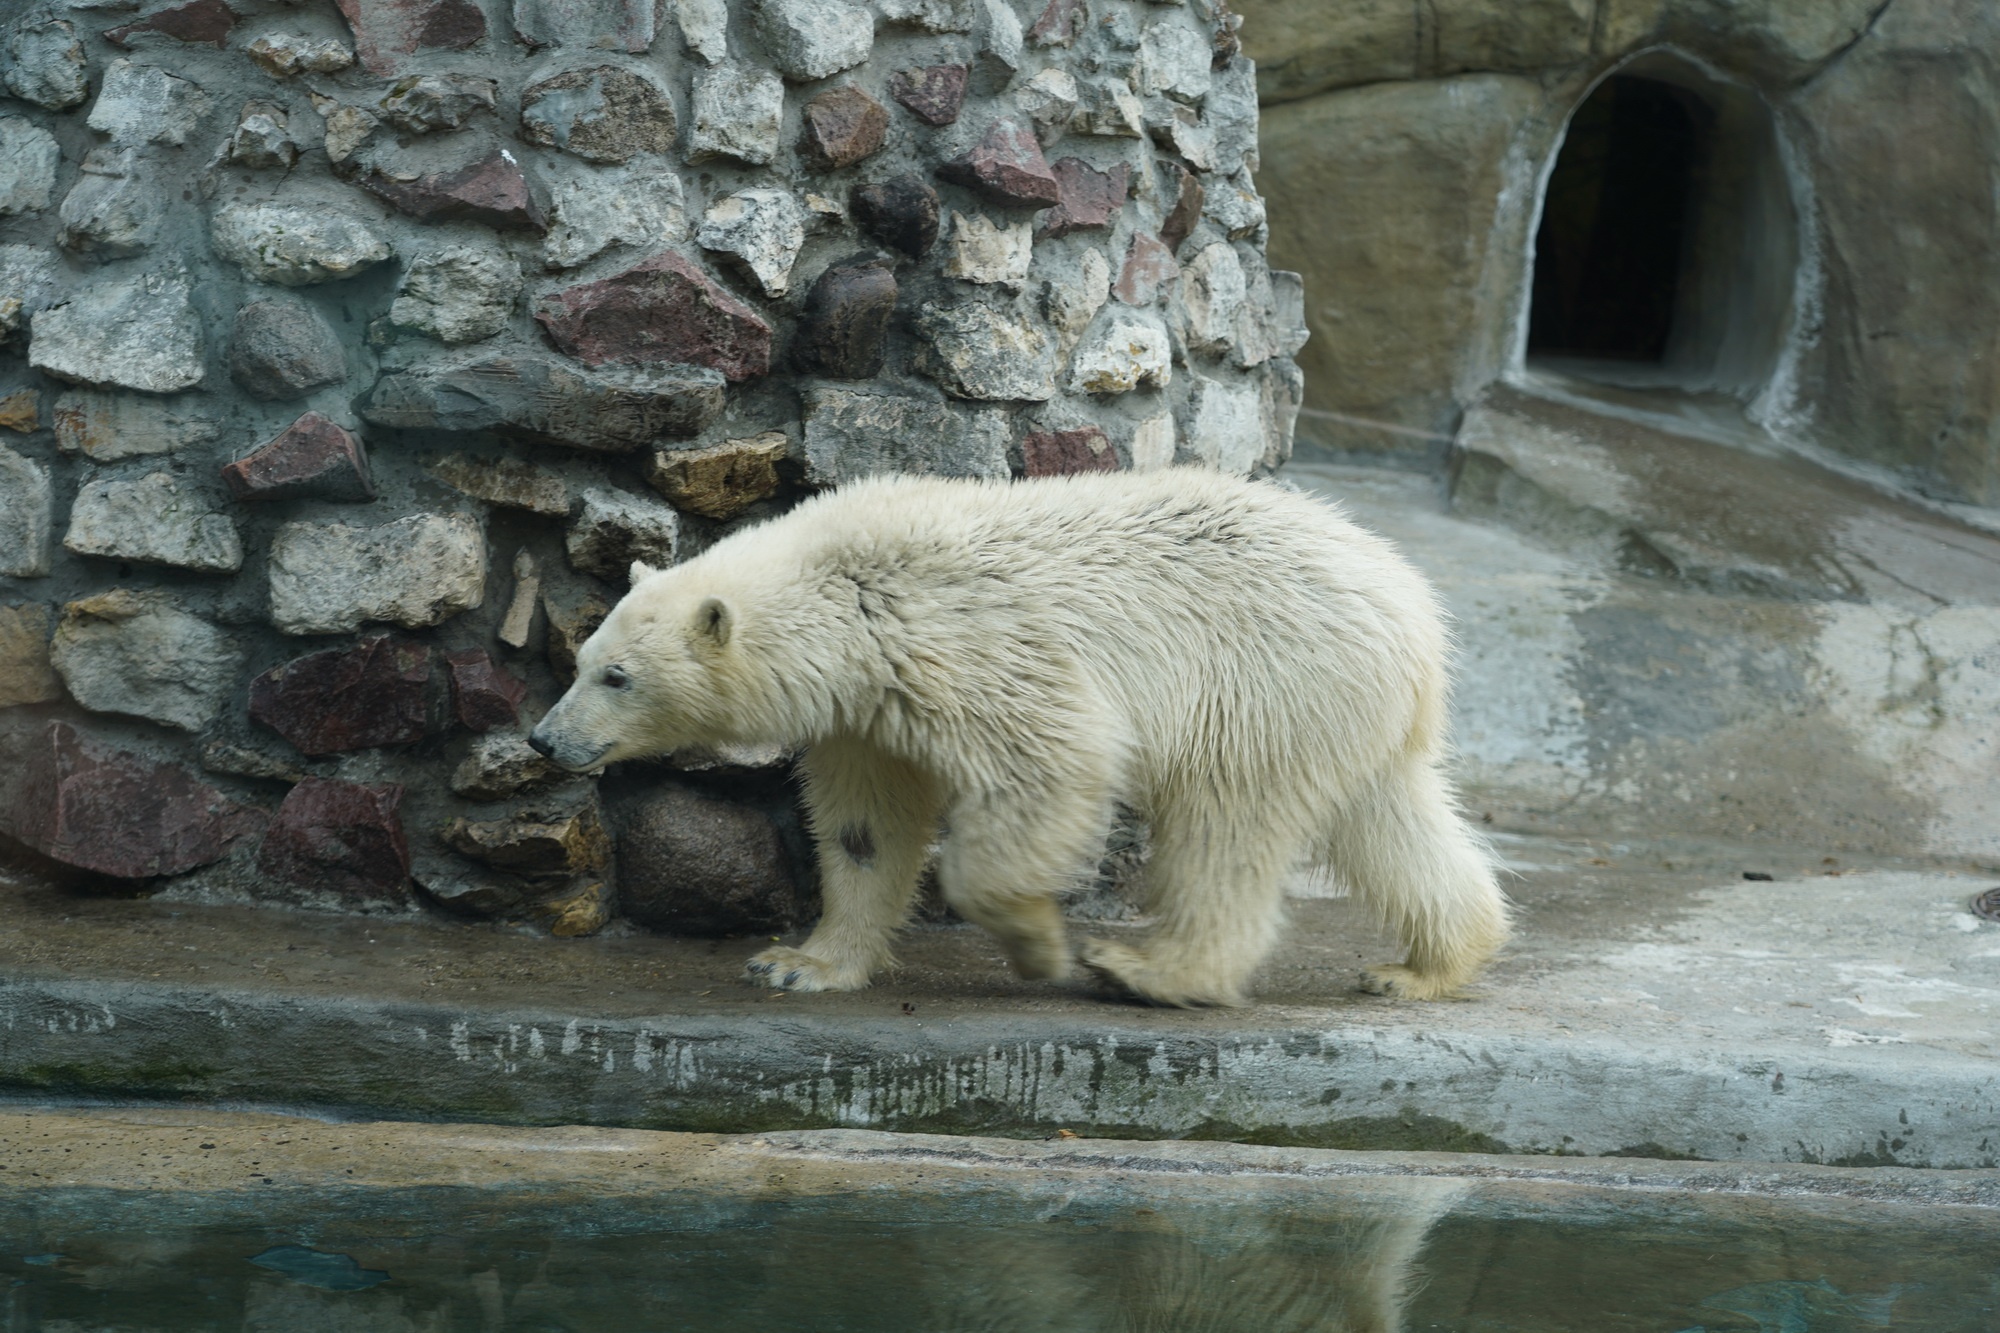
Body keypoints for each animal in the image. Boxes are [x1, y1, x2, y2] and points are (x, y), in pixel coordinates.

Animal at [524, 466, 1504, 996]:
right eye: (581, 658)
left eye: (617, 676)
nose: (543, 740)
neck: (849, 592)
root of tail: (1413, 608)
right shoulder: (863, 713)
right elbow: (867, 826)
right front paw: (798, 962)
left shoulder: (959, 644)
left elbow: (1054, 763)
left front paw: (1034, 939)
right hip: (1343, 704)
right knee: (1388, 816)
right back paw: (1427, 964)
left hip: (1265, 679)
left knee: (1226, 826)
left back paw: (1154, 970)